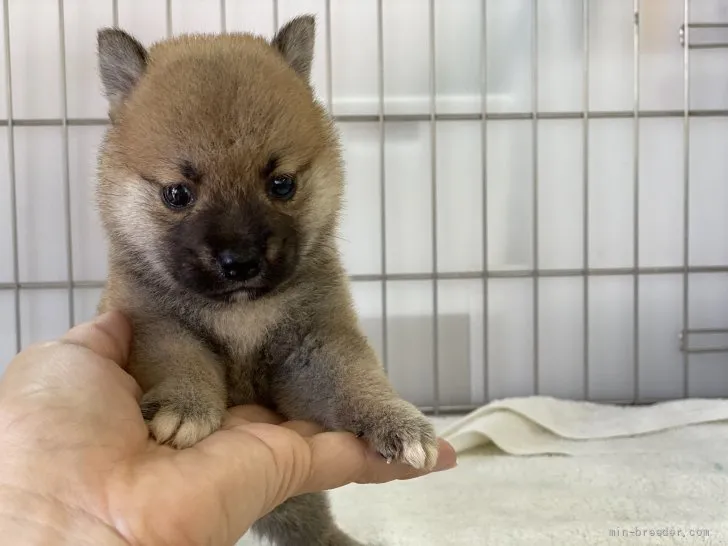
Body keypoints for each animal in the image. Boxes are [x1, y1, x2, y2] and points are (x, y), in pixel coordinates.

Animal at [95, 14, 438, 540]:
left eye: (281, 184)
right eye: (178, 193)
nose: (240, 261)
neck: (242, 312)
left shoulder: (316, 342)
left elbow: (354, 378)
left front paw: (395, 419)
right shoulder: (156, 328)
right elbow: (180, 362)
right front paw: (185, 406)